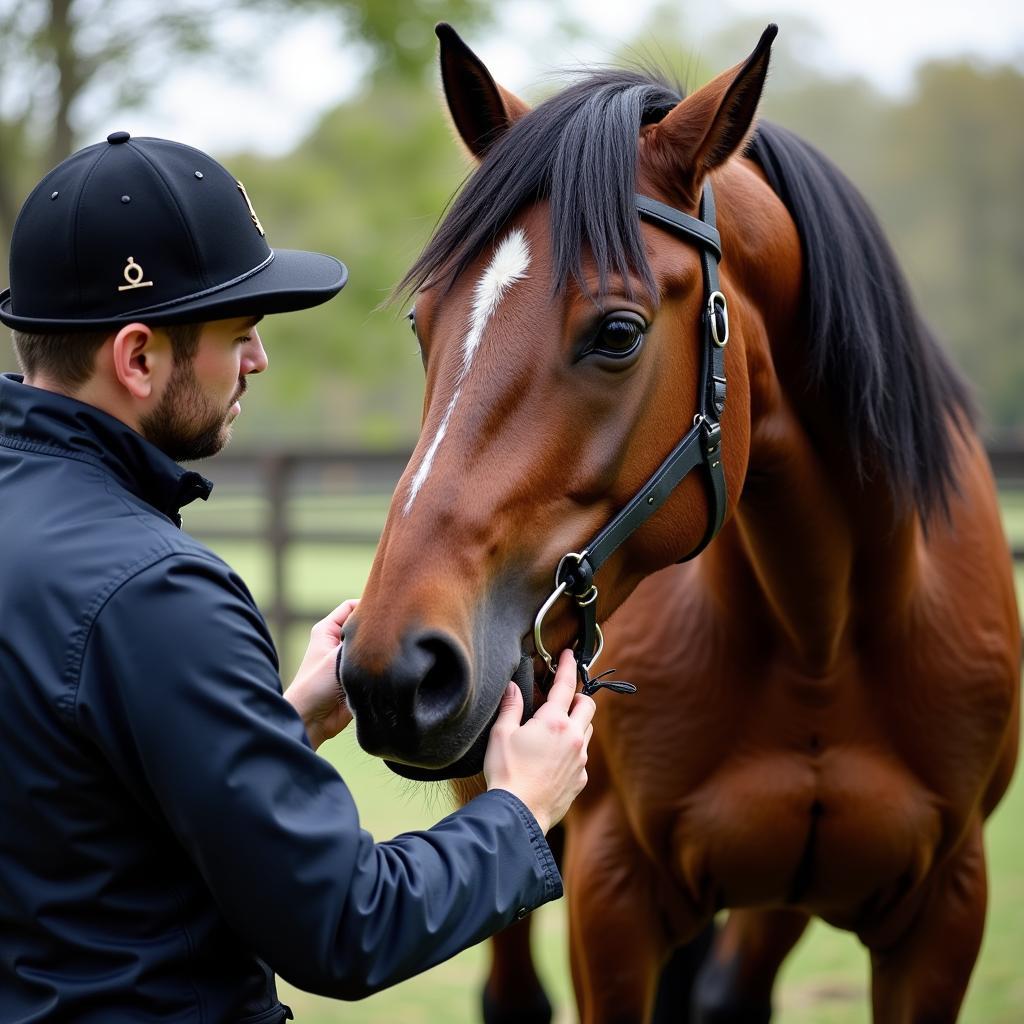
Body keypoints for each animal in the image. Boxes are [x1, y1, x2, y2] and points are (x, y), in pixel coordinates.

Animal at [339, 24, 1019, 1024]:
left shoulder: (943, 915)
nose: (393, 671)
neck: (823, 633)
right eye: (426, 327)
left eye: (619, 333)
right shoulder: (612, 896)